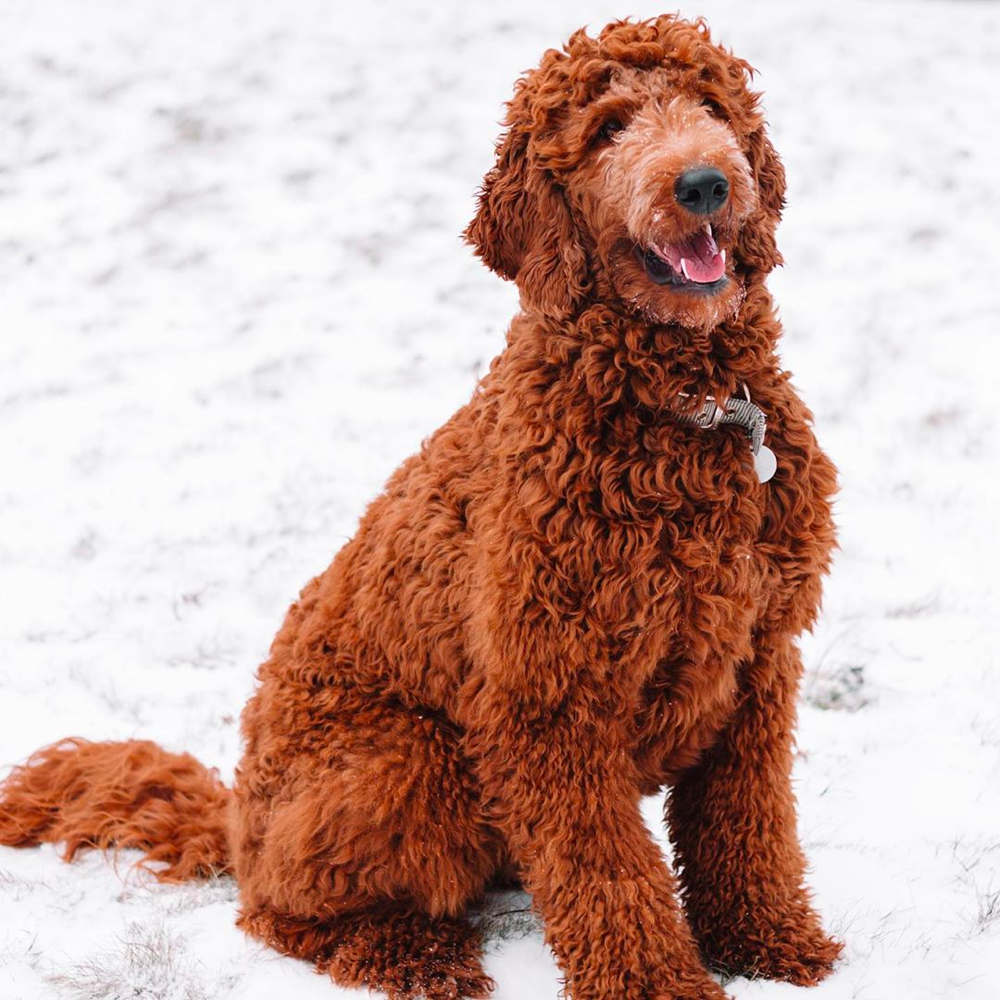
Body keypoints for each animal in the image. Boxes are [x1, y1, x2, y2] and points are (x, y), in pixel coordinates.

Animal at [0, 17, 844, 1000]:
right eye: (607, 129)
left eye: (710, 105)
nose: (704, 182)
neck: (683, 405)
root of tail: (237, 825)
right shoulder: (547, 699)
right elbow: (605, 870)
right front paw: (655, 983)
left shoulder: (755, 658)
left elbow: (749, 825)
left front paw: (766, 940)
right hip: (410, 758)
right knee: (279, 912)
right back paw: (412, 952)